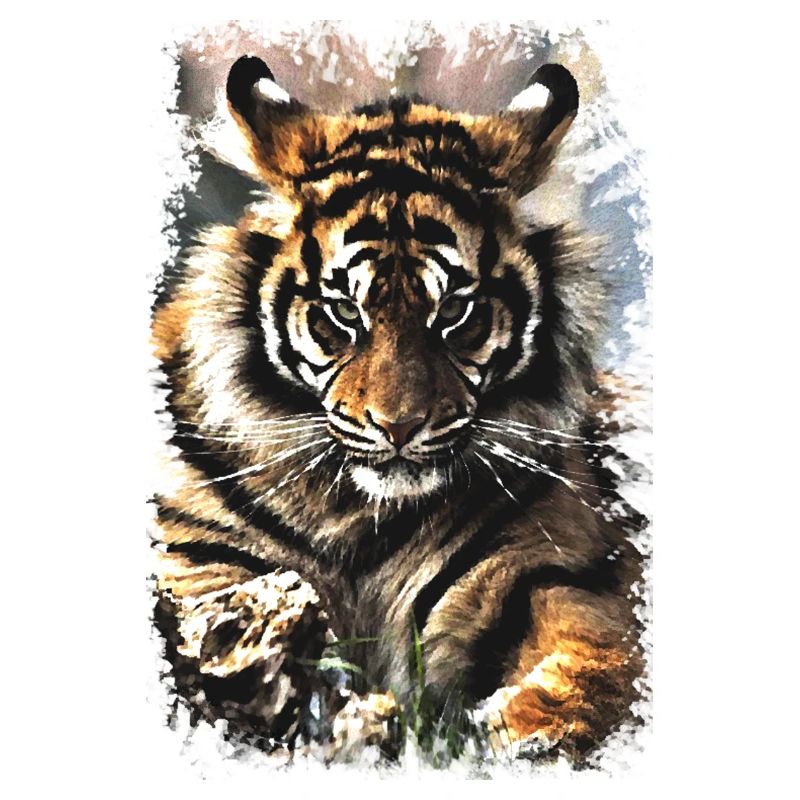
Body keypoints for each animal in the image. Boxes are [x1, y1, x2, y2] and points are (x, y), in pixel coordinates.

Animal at [150, 54, 647, 764]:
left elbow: (594, 669)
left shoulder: (561, 572)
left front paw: (533, 738)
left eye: (456, 313)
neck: (358, 519)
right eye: (343, 313)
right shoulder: (202, 561)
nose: (400, 426)